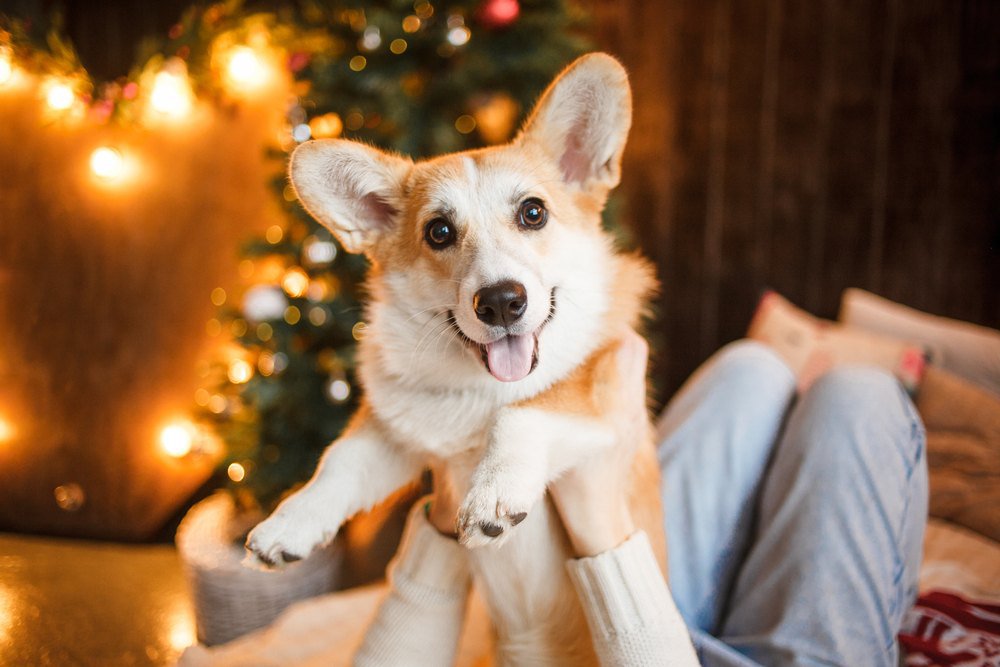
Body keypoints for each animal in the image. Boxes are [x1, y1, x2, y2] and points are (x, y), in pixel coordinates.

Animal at [249, 54, 668, 664]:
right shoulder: (396, 432)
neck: (480, 388)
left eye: (533, 213)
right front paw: (291, 523)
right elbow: (339, 462)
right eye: (439, 231)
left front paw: (492, 492)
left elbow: (528, 409)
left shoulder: (605, 391)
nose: (500, 302)